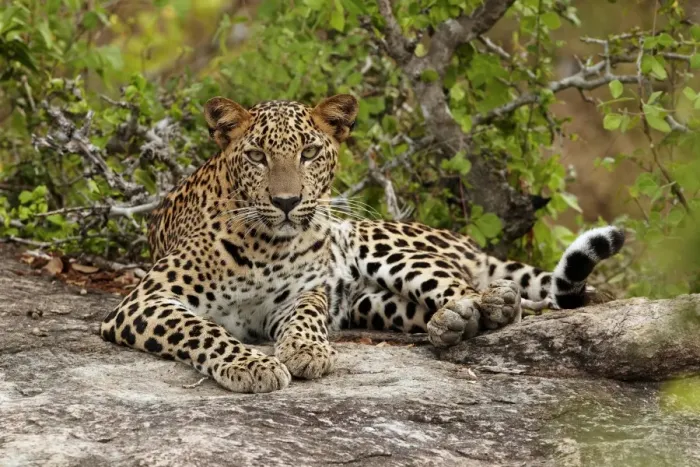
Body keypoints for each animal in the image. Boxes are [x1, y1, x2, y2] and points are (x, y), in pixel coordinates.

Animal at [100, 94, 625, 393]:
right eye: (257, 156)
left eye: (309, 152)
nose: (287, 202)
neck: (267, 245)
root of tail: (463, 239)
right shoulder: (144, 301)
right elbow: (203, 329)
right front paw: (251, 363)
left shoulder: (300, 294)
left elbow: (307, 315)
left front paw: (305, 351)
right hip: (371, 303)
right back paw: (451, 324)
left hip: (376, 241)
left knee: (471, 287)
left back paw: (484, 305)